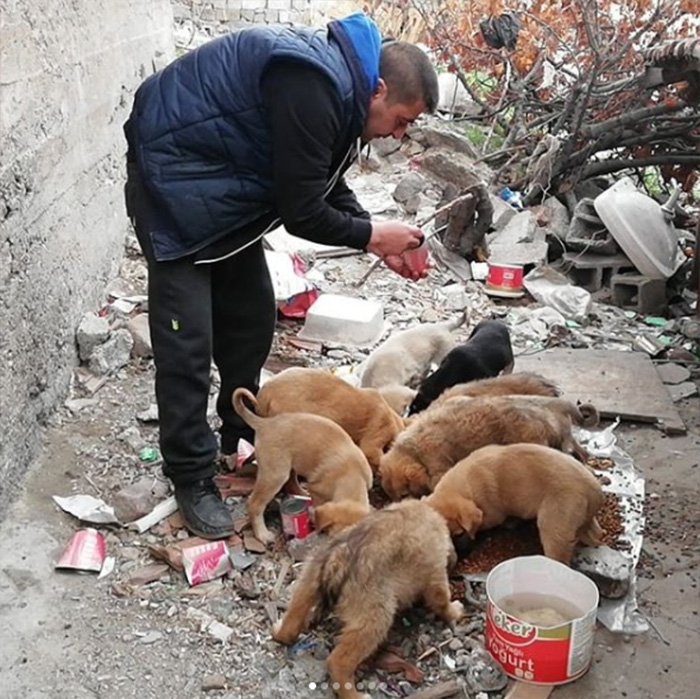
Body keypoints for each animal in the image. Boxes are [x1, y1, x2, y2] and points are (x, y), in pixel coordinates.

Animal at [232, 388, 372, 540]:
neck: (352, 475)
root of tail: (265, 423)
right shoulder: (317, 491)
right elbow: (318, 507)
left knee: (292, 483)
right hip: (275, 475)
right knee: (254, 504)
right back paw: (262, 534)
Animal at [274, 500, 464, 699]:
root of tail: (339, 559)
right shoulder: (436, 572)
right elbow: (441, 600)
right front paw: (454, 611)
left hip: (308, 579)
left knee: (292, 620)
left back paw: (280, 630)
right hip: (374, 615)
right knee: (338, 661)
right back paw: (353, 693)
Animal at [424, 446, 604, 568]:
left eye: (458, 533)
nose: (459, 557)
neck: (463, 485)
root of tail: (594, 489)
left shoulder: (491, 513)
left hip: (555, 521)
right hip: (580, 518)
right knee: (594, 534)